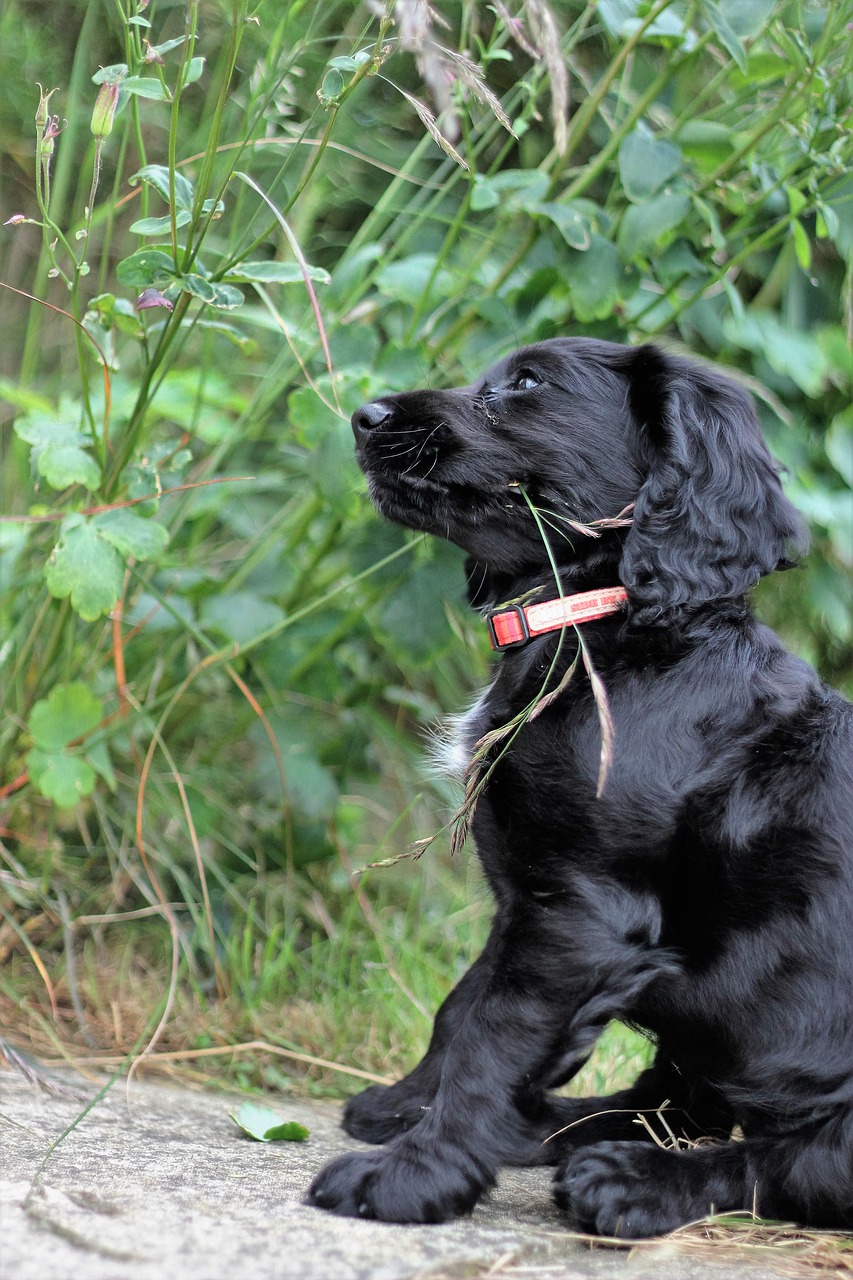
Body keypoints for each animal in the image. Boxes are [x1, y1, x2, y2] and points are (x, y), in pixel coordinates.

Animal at [306, 335, 850, 1233]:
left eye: (526, 384)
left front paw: (409, 1176)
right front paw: (405, 1105)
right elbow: (462, 1008)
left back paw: (630, 1181)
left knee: (794, 1160)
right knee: (682, 1100)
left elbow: (491, 1041)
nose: (364, 414)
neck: (602, 624)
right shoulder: (527, 901)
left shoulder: (581, 912)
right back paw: (555, 1127)